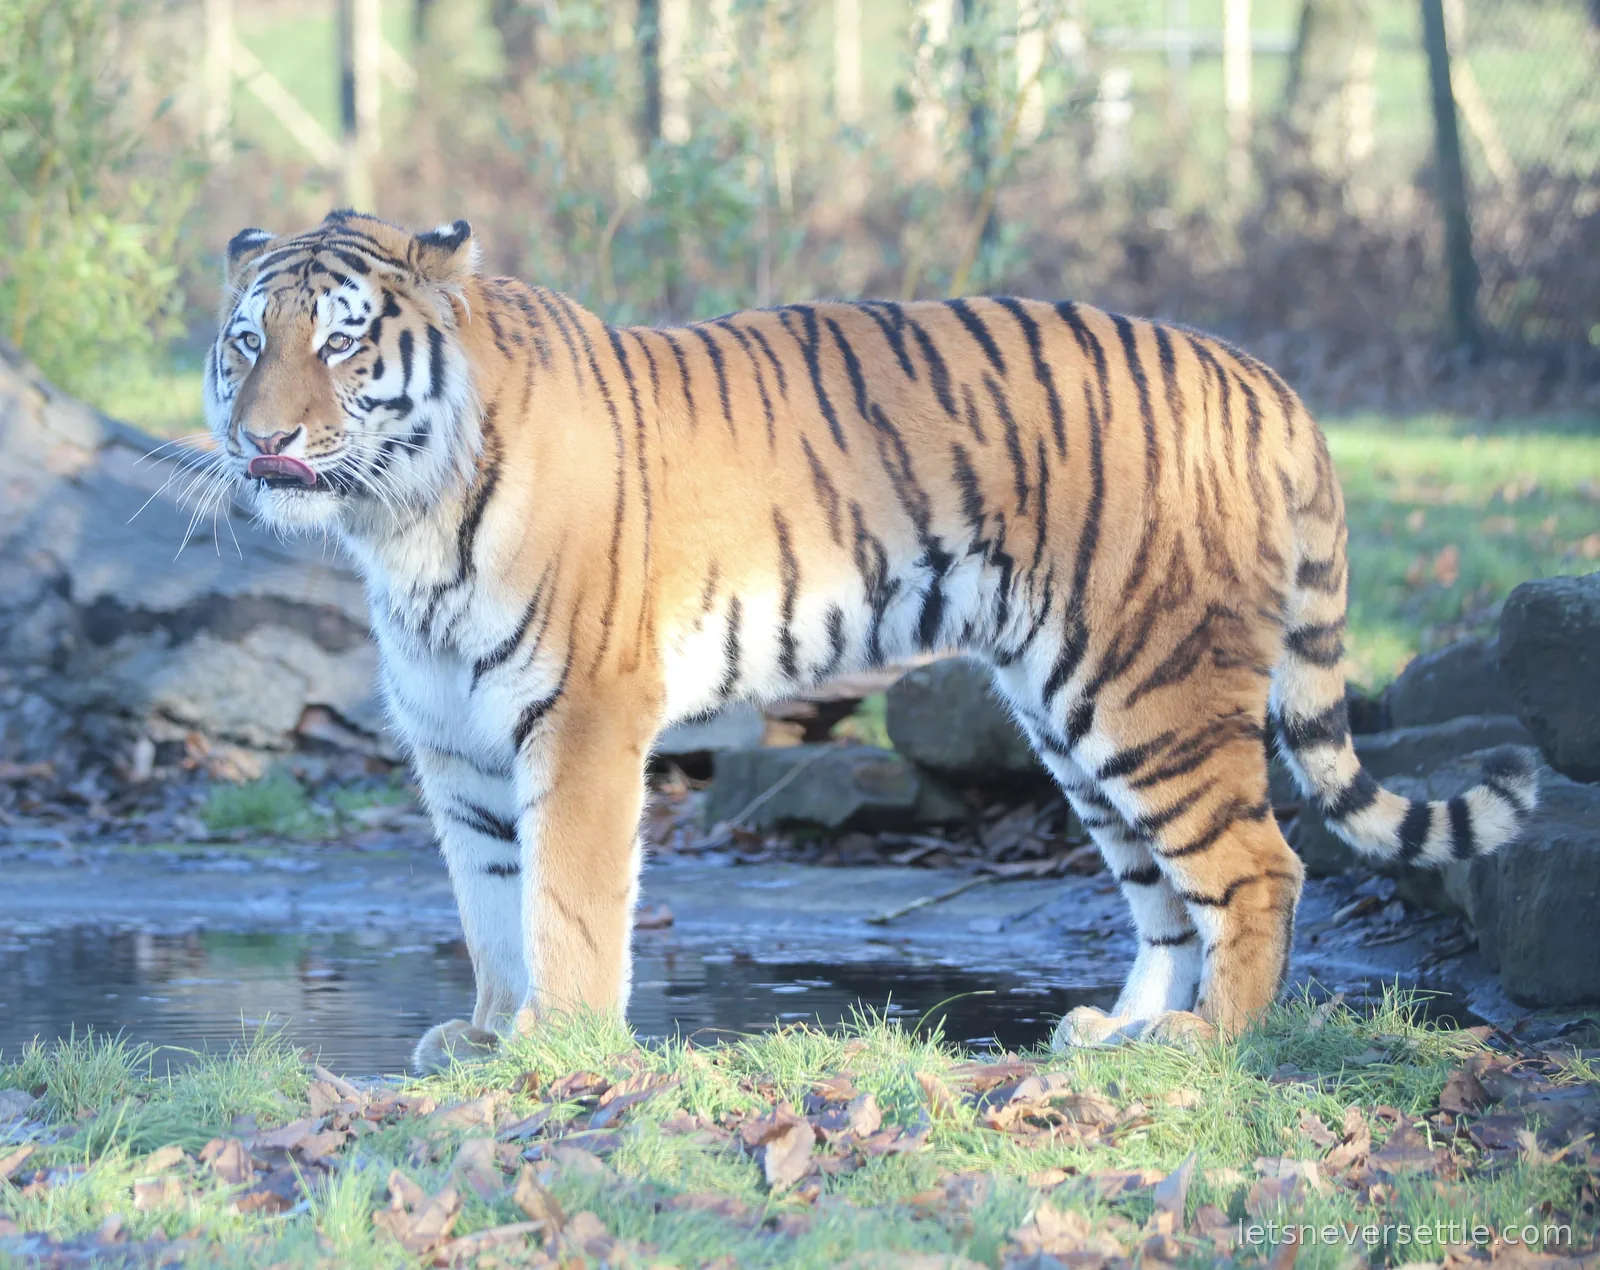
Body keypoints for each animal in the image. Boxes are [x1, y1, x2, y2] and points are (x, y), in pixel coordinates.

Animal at [203, 210, 1539, 1070]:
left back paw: (1213, 1046)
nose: (263, 439)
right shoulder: (455, 743)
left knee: (1260, 865)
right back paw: (1119, 1035)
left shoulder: (579, 718)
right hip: (1071, 710)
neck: (398, 518)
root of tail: (1264, 380)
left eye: (340, 342)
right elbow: (489, 902)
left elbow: (564, 899)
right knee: (1163, 891)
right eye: (246, 342)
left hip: (1150, 688)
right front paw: (485, 1034)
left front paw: (558, 1047)